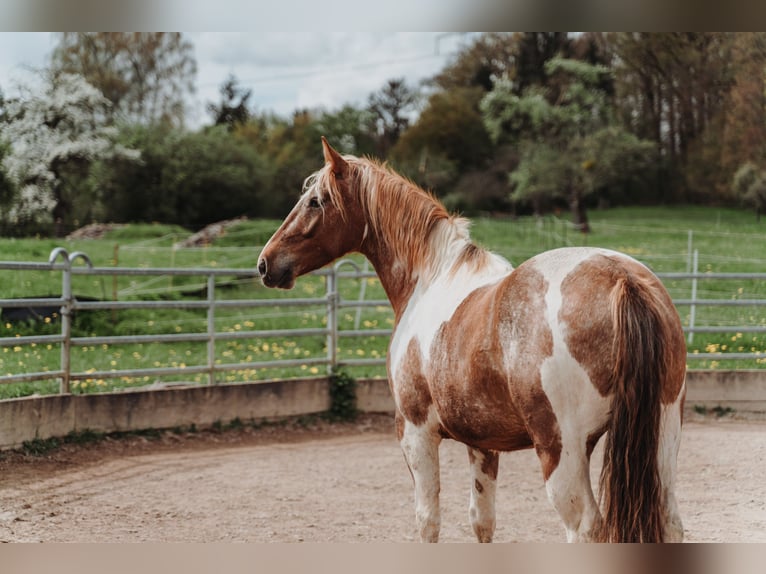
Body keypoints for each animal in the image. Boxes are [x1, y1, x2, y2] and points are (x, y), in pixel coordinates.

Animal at [258, 140, 688, 544]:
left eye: (315, 200)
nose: (265, 263)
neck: (428, 281)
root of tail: (621, 278)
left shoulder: (415, 432)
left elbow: (428, 522)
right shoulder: (483, 444)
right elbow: (482, 522)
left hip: (562, 451)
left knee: (584, 527)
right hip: (662, 440)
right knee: (670, 524)